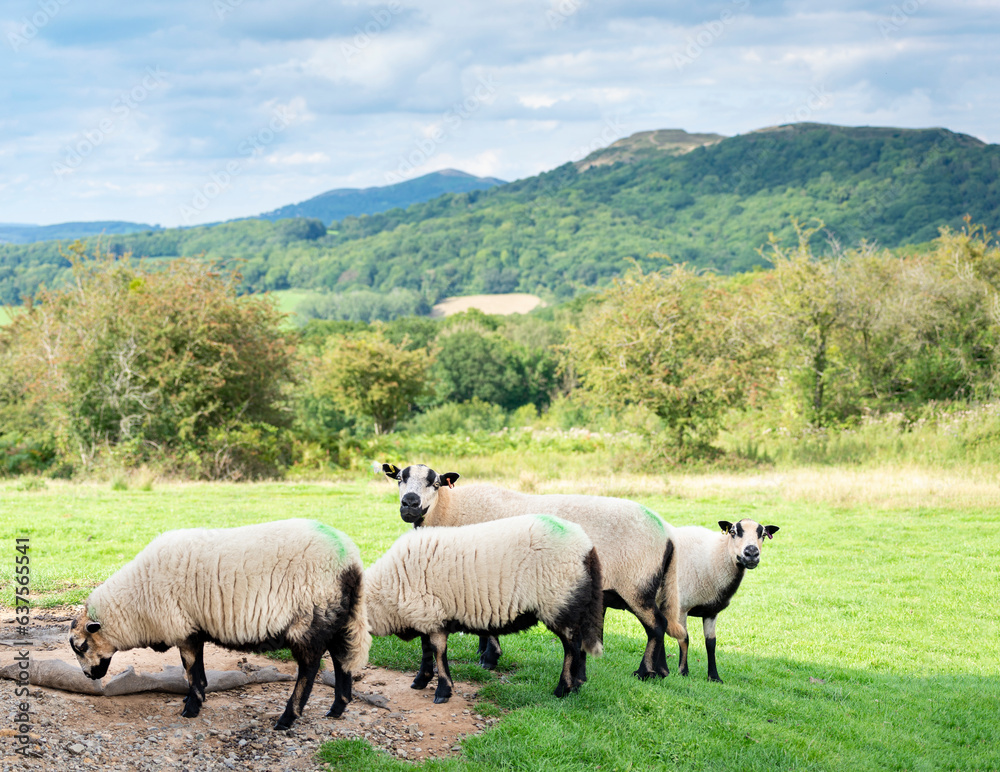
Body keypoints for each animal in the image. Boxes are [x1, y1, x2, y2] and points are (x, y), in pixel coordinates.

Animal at [68, 520, 372, 728]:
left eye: (81, 647)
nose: (88, 676)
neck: (135, 602)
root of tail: (351, 562)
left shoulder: (184, 629)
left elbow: (191, 670)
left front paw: (191, 708)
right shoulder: (194, 627)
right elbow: (197, 672)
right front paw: (194, 700)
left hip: (309, 618)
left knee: (309, 668)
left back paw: (288, 718)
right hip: (337, 615)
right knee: (342, 658)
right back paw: (337, 708)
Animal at [366, 516, 600, 704]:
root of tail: (586, 546)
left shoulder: (431, 614)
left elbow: (438, 651)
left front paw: (443, 691)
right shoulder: (426, 614)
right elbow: (426, 650)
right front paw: (421, 679)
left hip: (559, 600)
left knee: (571, 646)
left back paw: (563, 688)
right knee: (579, 643)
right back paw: (578, 684)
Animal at [378, 462, 684, 680]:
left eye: (435, 483)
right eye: (400, 478)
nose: (410, 504)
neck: (450, 509)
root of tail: (667, 531)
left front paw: (489, 657)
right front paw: (484, 652)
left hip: (636, 584)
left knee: (656, 626)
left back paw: (644, 673)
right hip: (648, 584)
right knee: (663, 624)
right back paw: (662, 672)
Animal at [672, 520, 780, 680]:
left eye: (763, 534)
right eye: (733, 532)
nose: (751, 554)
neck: (713, 557)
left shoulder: (711, 611)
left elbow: (711, 644)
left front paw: (714, 677)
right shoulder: (682, 608)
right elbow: (684, 639)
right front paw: (683, 672)